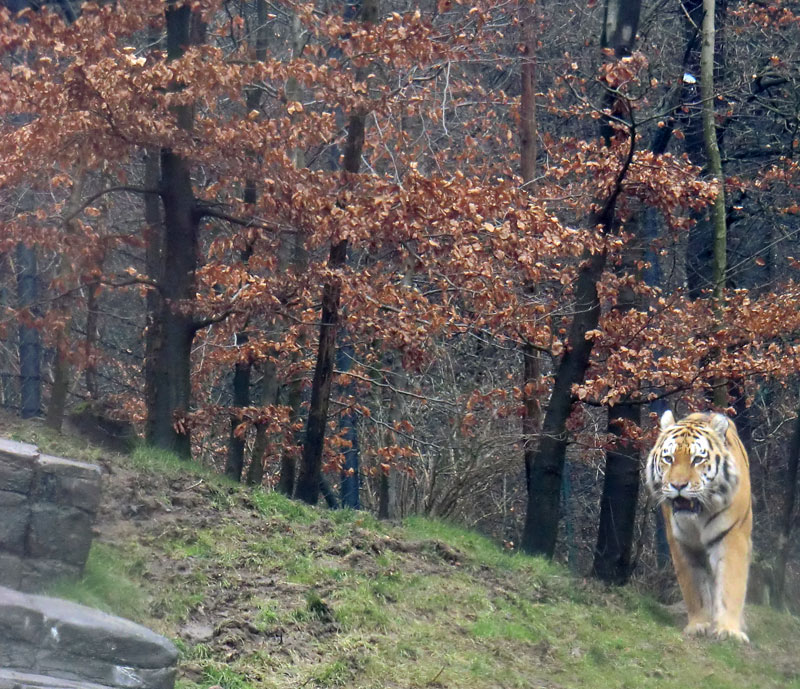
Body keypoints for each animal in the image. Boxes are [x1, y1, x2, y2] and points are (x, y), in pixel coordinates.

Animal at [648, 408, 752, 640]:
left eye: (697, 459)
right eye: (668, 458)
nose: (678, 485)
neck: (698, 515)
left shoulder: (732, 537)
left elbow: (731, 582)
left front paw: (729, 630)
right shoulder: (681, 543)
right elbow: (694, 588)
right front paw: (699, 625)